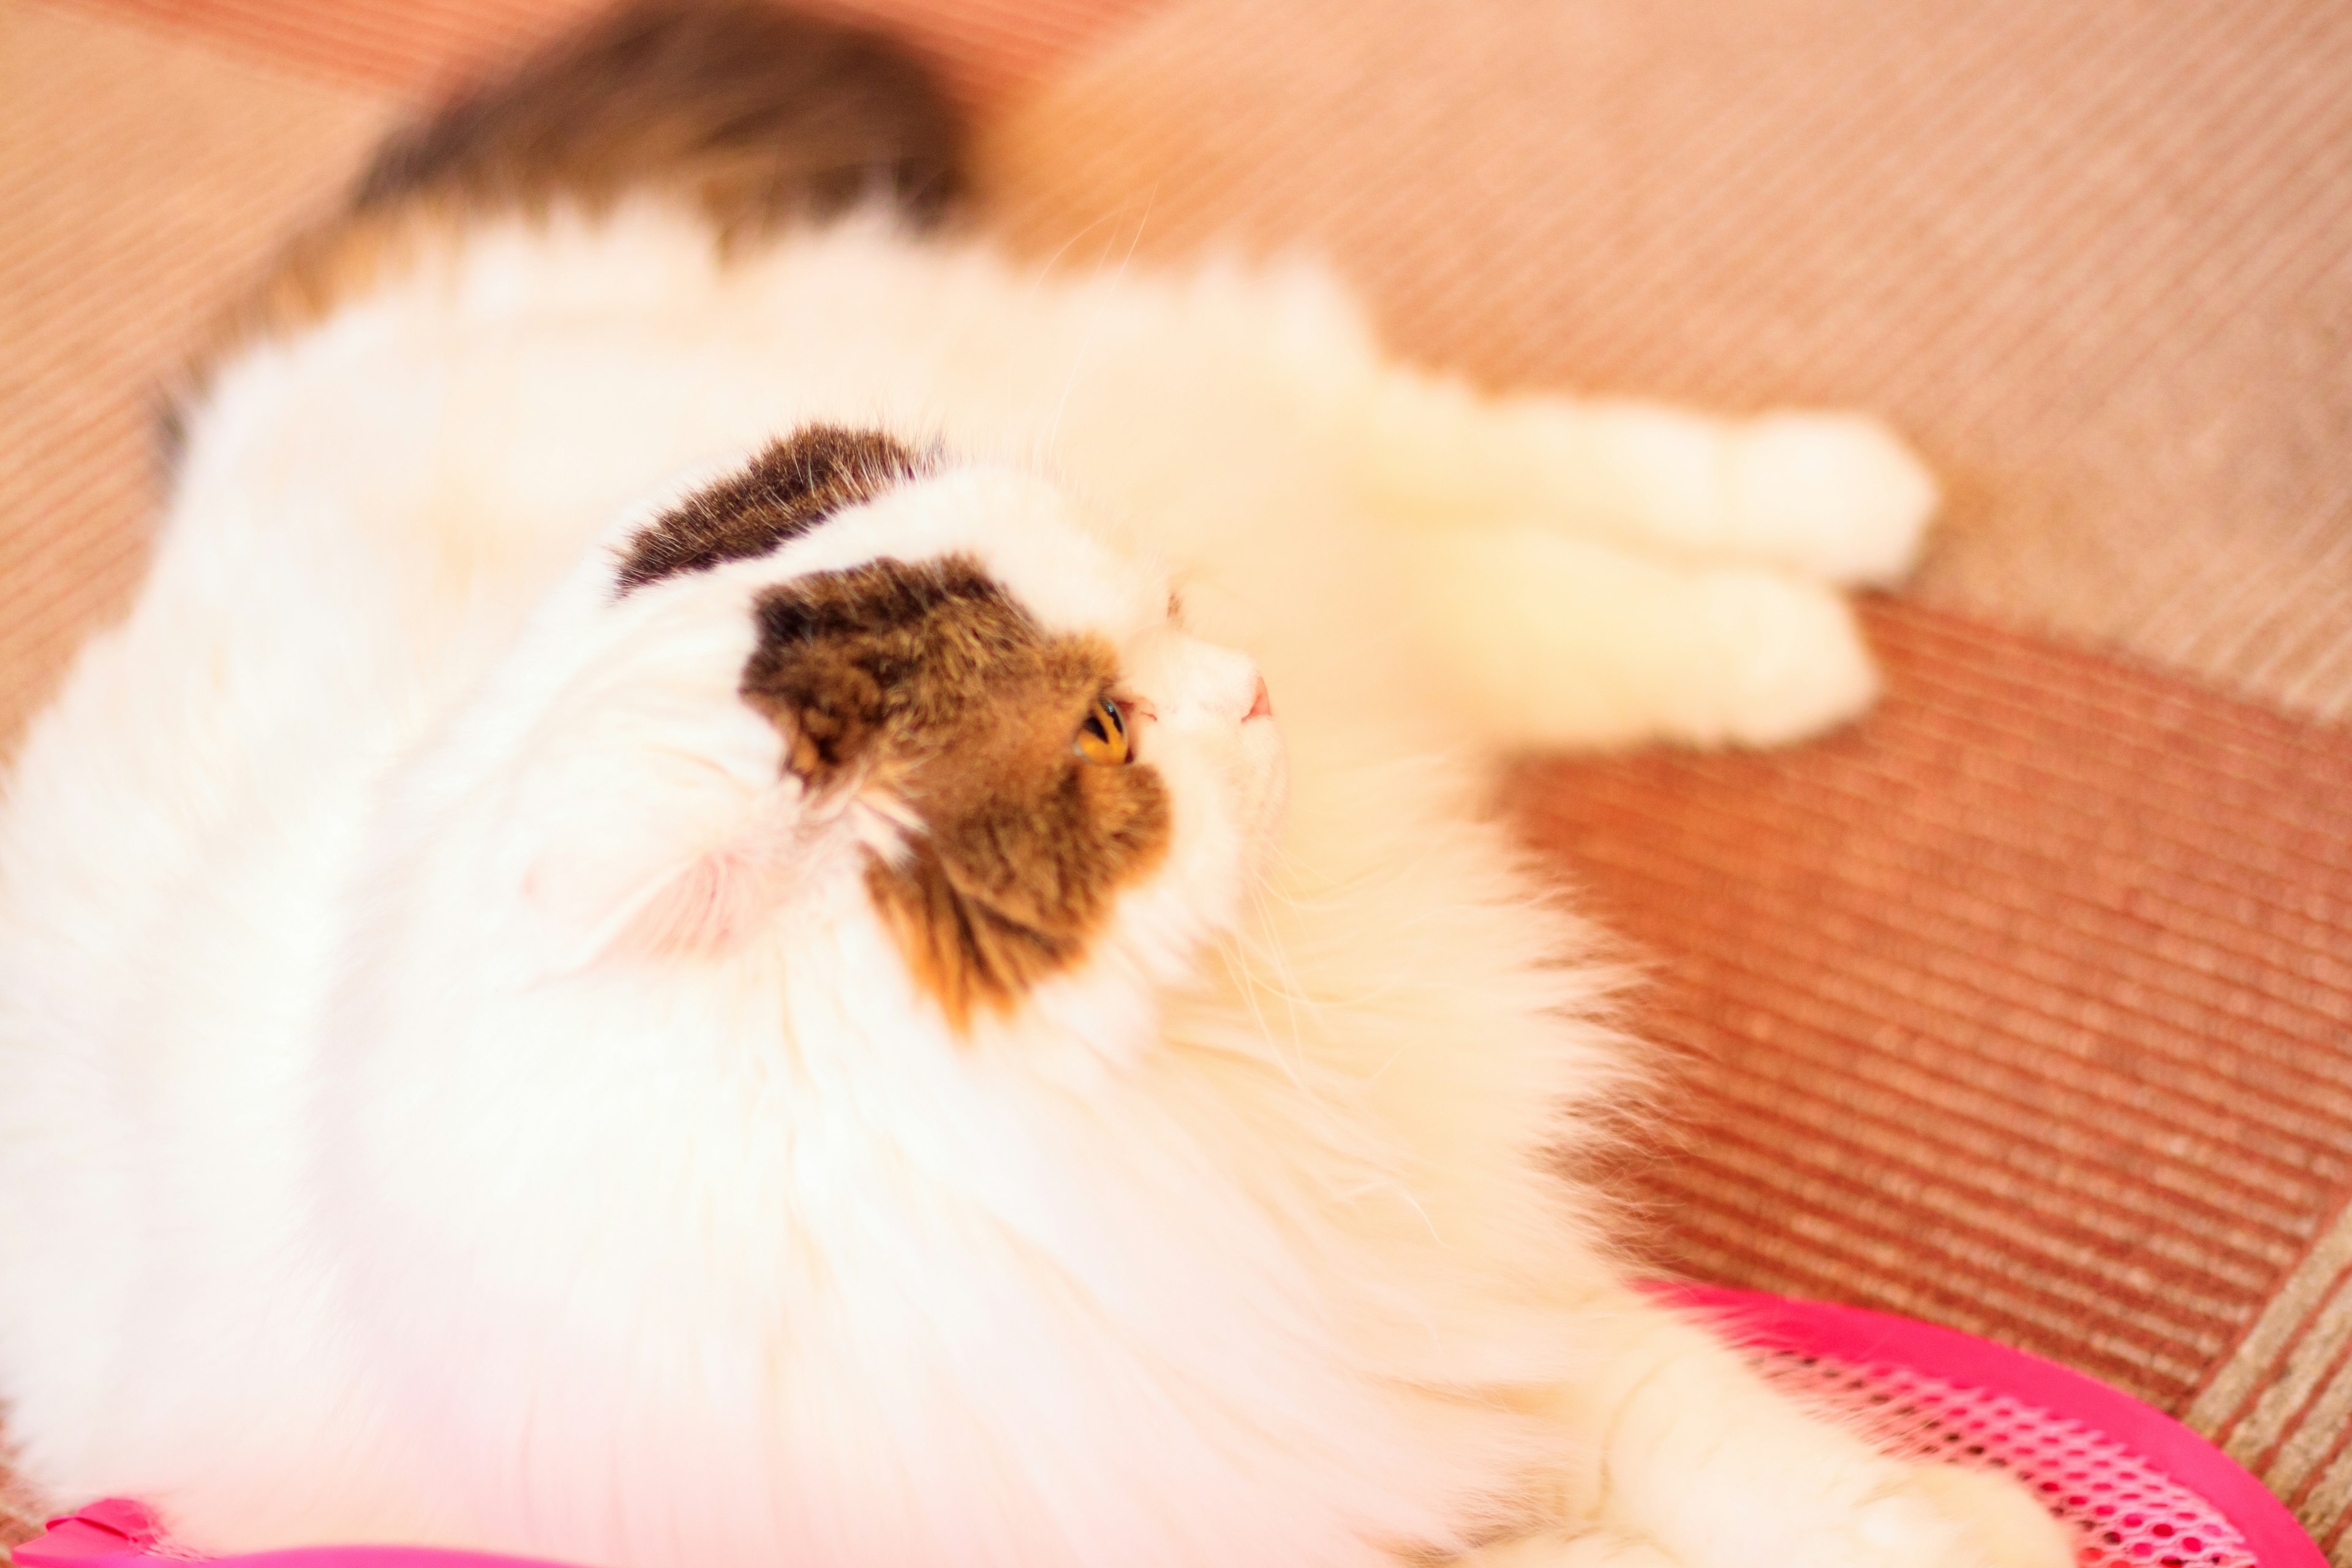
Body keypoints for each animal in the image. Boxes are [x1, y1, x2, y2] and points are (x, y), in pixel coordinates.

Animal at [0, 3, 2060, 1568]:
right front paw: (1982, 1525)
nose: (1246, 688)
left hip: (1218, 432)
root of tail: (259, 389)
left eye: (1149, 651)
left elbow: (1739, 1442)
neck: (1150, 1105)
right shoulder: (1339, 1402)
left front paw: (1980, 1522)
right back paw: (1798, 622)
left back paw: (1835, 534)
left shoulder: (1437, 1301)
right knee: (1475, 564)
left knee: (1451, 464)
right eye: (1102, 735)